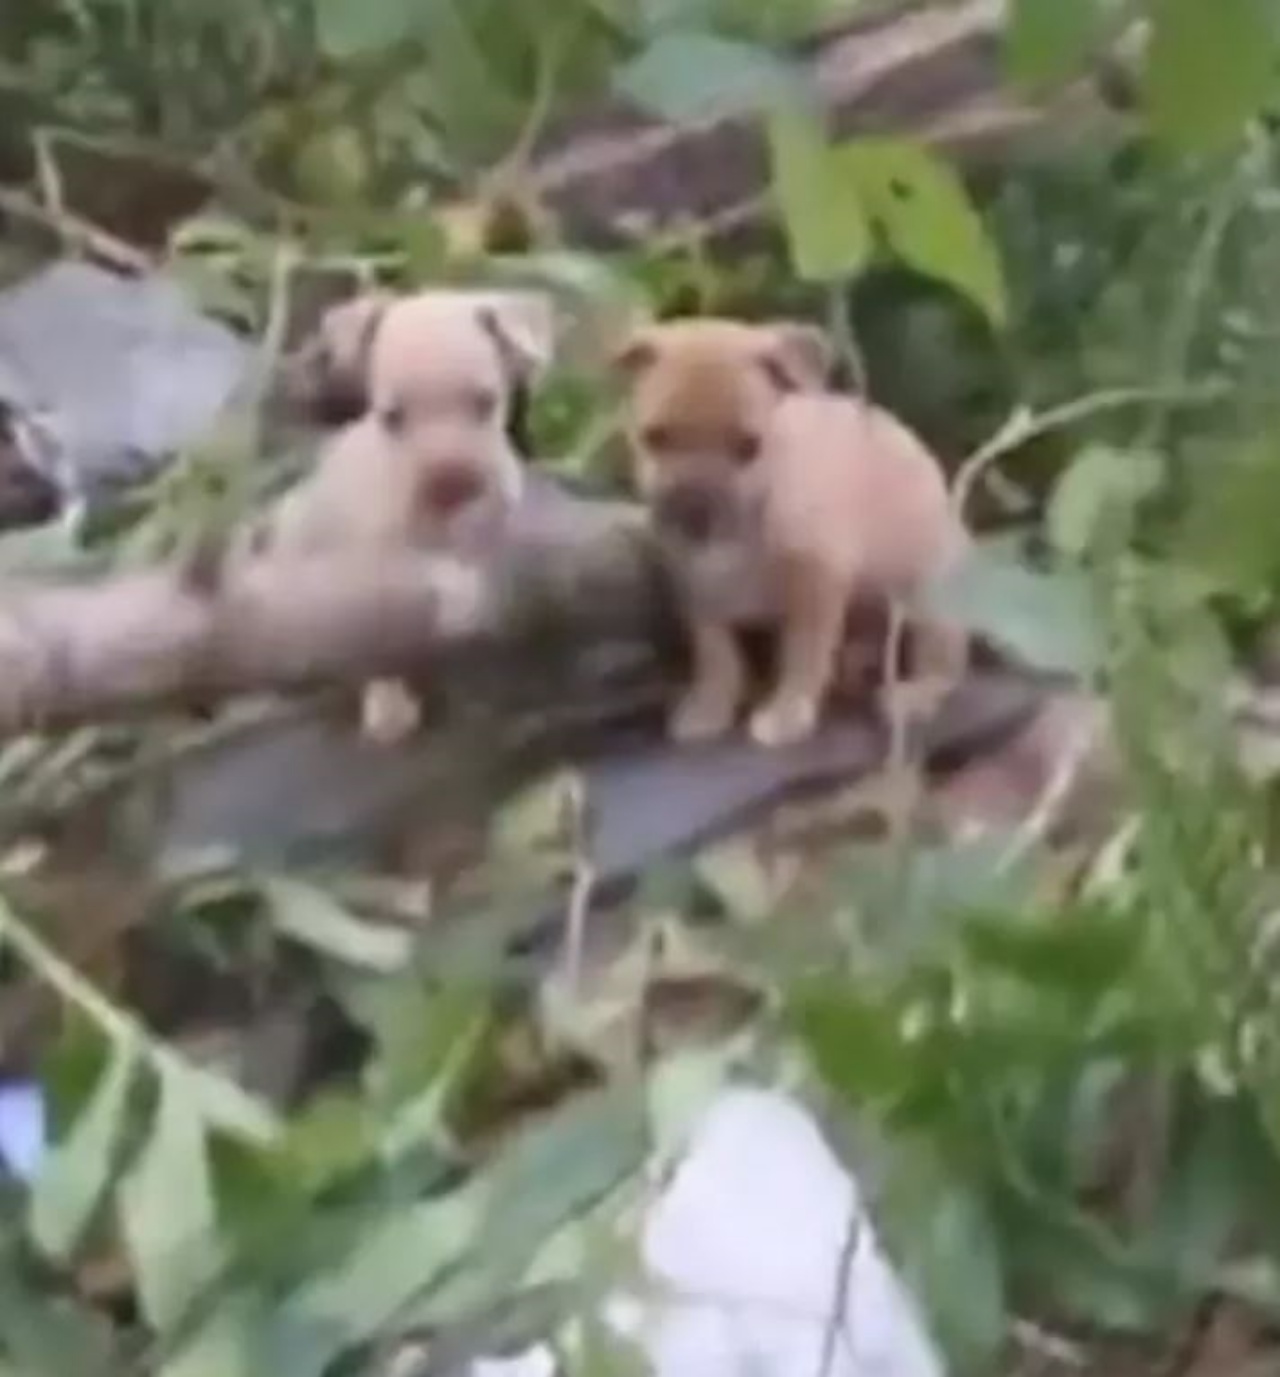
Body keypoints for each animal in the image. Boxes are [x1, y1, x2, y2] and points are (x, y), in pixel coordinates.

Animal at [613, 316, 963, 749]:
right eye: (655, 438)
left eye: (748, 446)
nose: (694, 510)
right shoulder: (699, 593)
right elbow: (717, 659)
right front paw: (709, 708)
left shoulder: (815, 586)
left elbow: (802, 657)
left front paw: (787, 713)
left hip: (929, 601)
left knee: (943, 661)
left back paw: (911, 695)